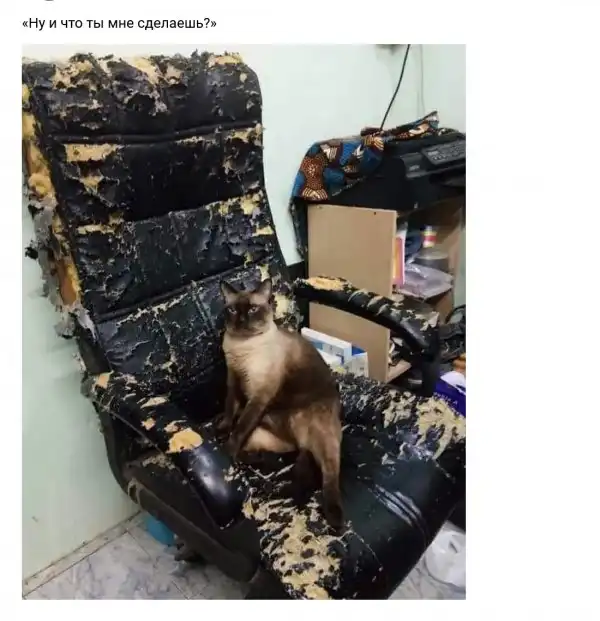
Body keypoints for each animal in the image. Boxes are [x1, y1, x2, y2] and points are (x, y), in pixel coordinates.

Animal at [217, 277, 344, 532]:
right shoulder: (233, 382)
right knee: (276, 453)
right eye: (233, 310)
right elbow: (229, 412)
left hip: (320, 437)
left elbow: (239, 427)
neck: (241, 347)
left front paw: (226, 450)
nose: (241, 320)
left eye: (252, 309)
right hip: (266, 434)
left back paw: (335, 518)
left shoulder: (259, 395)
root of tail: (300, 439)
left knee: (330, 475)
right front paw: (223, 430)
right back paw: (264, 461)